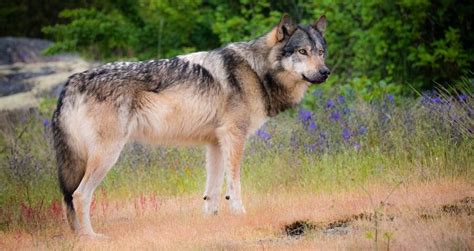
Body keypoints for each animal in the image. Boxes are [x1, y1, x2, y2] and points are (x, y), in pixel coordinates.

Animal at [51, 13, 330, 237]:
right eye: (302, 52)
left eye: (320, 52)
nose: (325, 72)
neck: (256, 71)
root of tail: (71, 82)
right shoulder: (234, 136)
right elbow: (234, 184)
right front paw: (239, 214)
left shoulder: (216, 143)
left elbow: (212, 191)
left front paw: (212, 222)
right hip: (106, 156)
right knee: (79, 195)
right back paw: (90, 238)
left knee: (70, 198)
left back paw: (78, 236)